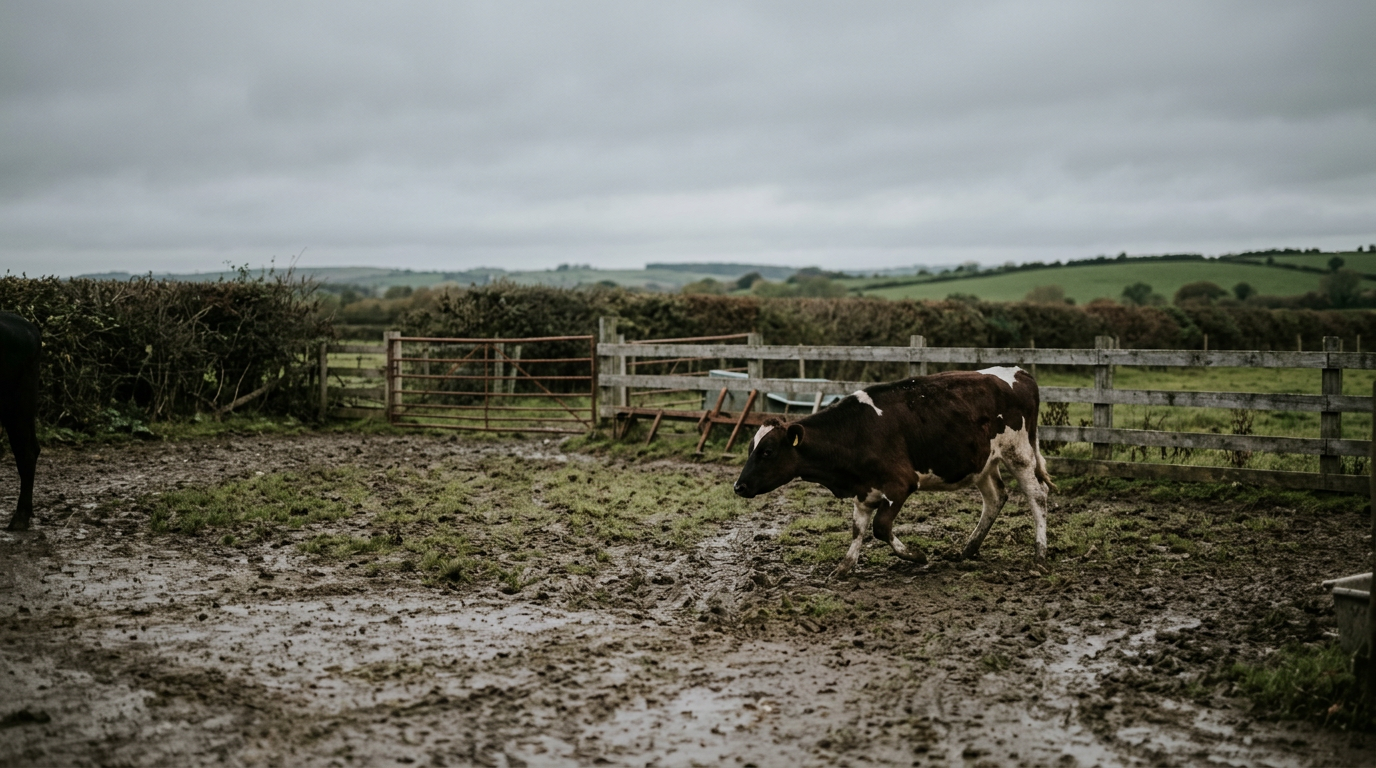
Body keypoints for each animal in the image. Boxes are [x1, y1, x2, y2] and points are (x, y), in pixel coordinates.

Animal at [733, 367, 1053, 576]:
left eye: (767, 451)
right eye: (751, 448)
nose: (739, 487)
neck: (855, 431)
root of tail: (1020, 372)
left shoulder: (900, 484)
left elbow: (880, 527)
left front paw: (917, 556)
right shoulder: (864, 490)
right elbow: (858, 528)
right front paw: (844, 567)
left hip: (1019, 453)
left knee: (1037, 496)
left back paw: (1040, 555)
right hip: (983, 463)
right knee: (995, 498)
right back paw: (967, 549)